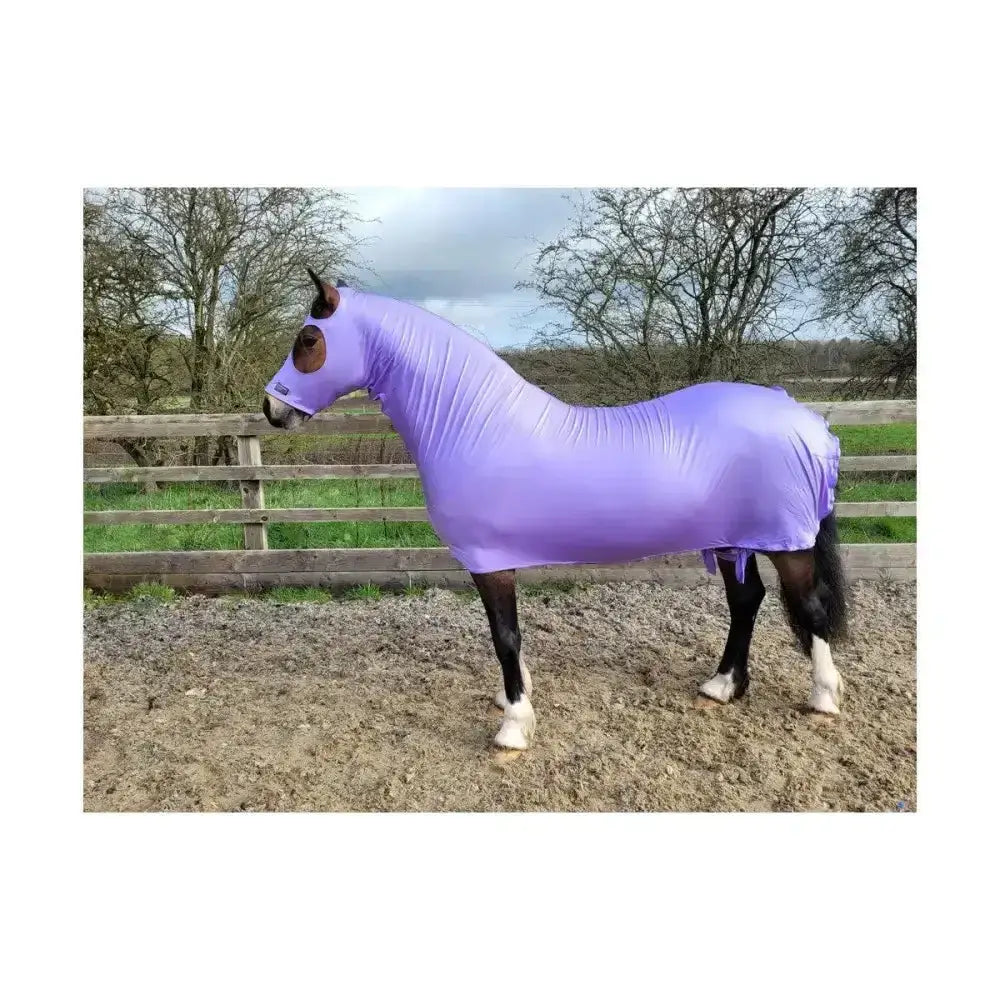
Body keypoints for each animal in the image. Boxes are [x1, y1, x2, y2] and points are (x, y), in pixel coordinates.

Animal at [263, 270, 848, 751]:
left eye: (308, 339)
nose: (270, 409)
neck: (478, 425)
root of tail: (806, 419)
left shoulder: (489, 562)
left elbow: (505, 638)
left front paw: (514, 726)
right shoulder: (499, 559)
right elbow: (509, 637)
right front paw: (512, 699)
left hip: (786, 543)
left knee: (810, 609)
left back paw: (823, 697)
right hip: (730, 540)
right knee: (746, 602)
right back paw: (723, 685)